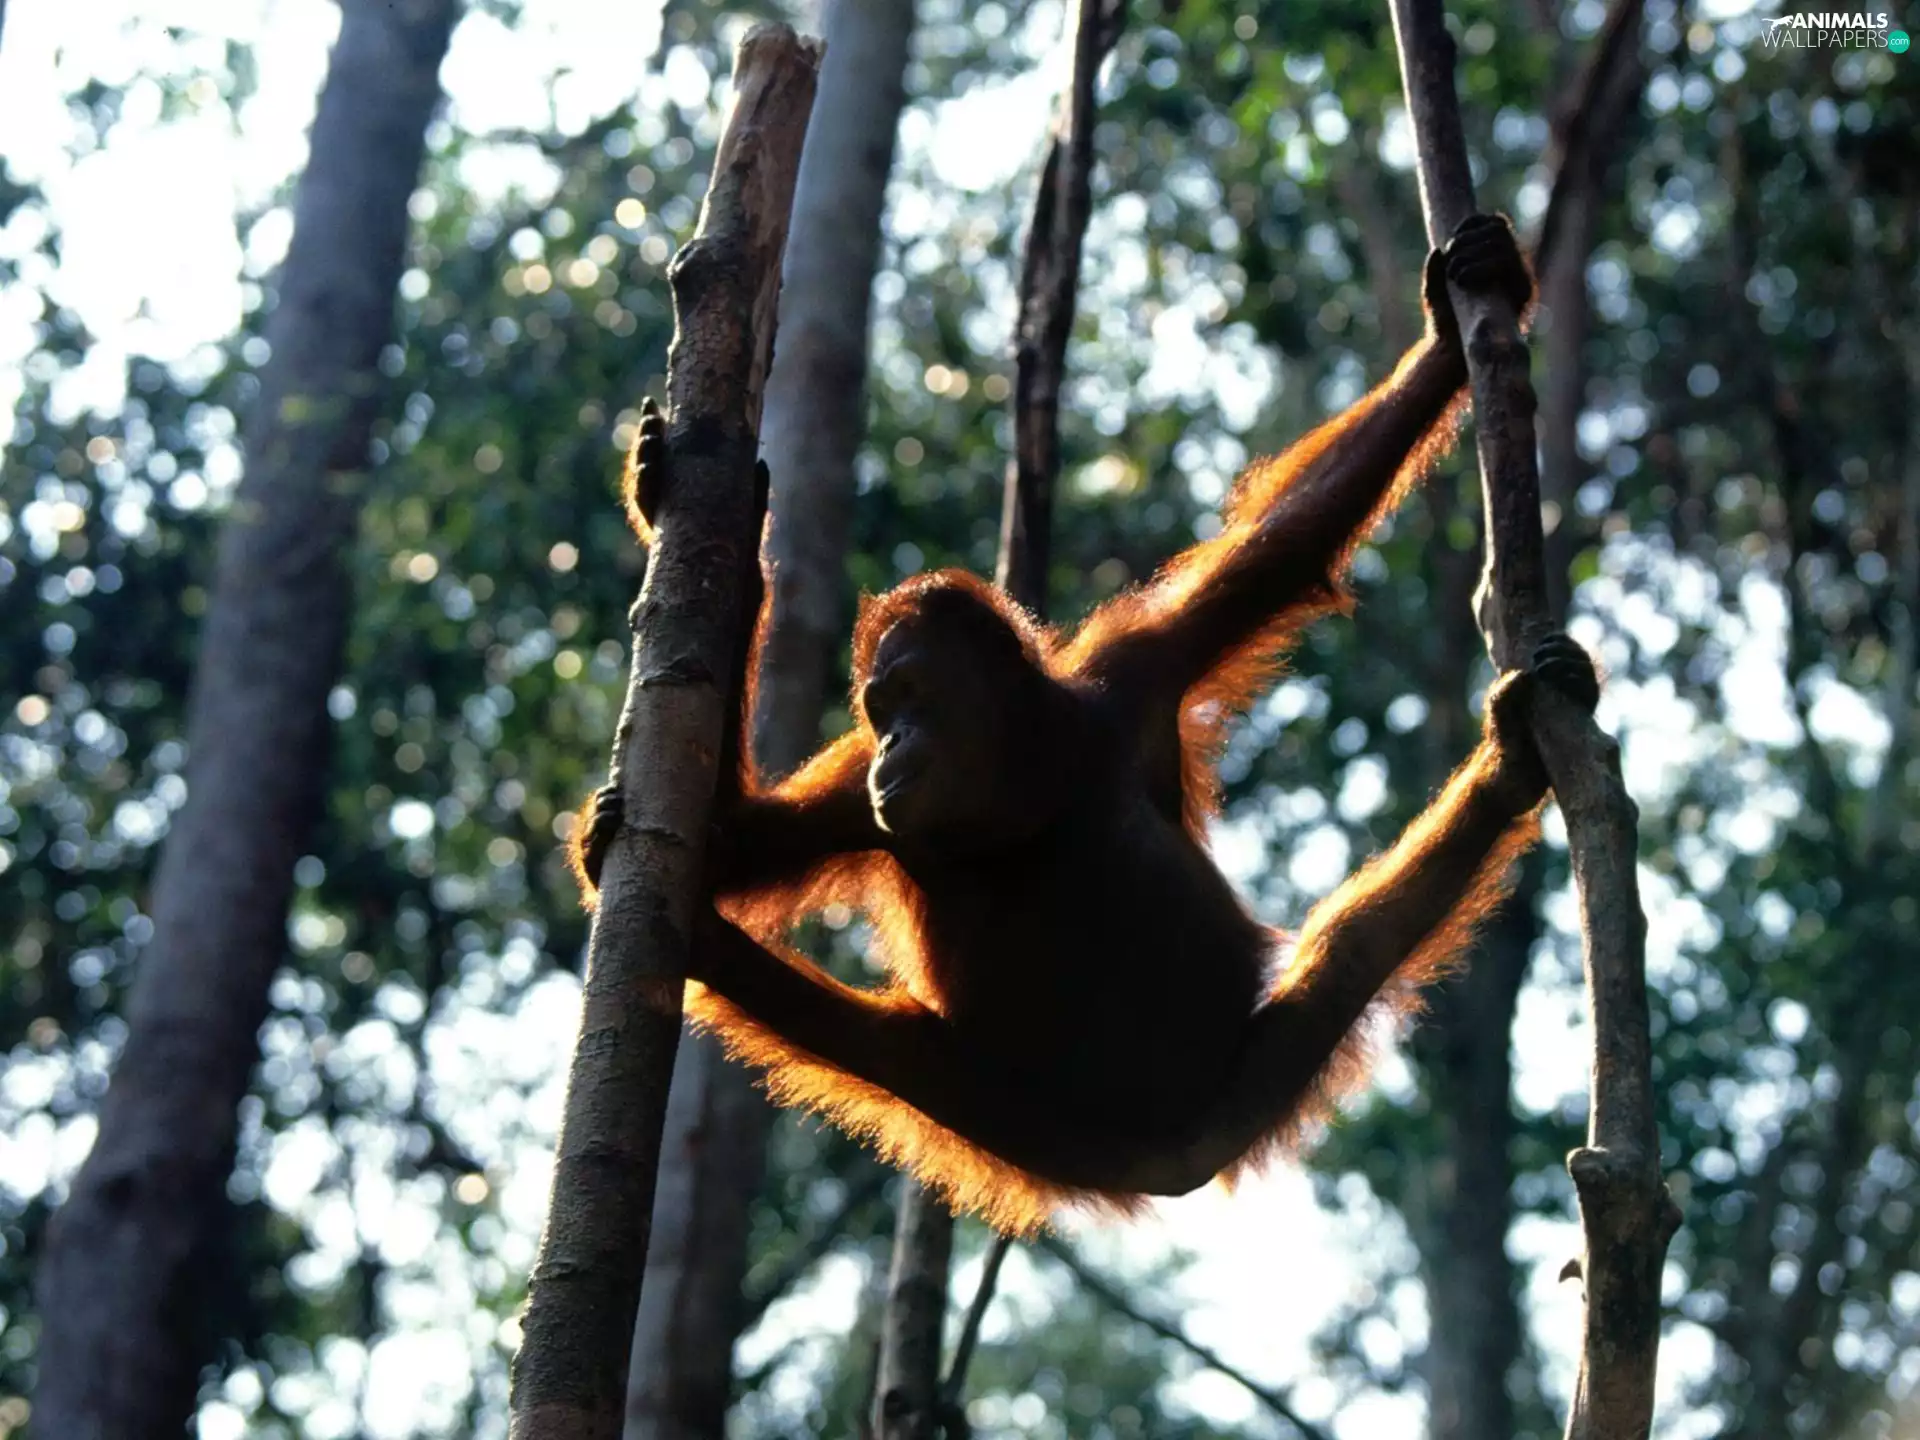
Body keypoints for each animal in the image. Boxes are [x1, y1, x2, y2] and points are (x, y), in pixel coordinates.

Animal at [572, 213, 1597, 1234]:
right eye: (879, 711)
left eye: (908, 696)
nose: (893, 743)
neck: (1024, 781)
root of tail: (1178, 1159)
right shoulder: (864, 802)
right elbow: (731, 843)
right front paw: (706, 528)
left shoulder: (1130, 674)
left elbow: (1288, 546)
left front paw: (1447, 333)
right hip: (1041, 1128)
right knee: (890, 1048)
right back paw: (712, 951)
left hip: (1246, 1080)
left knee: (1355, 945)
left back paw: (1505, 769)